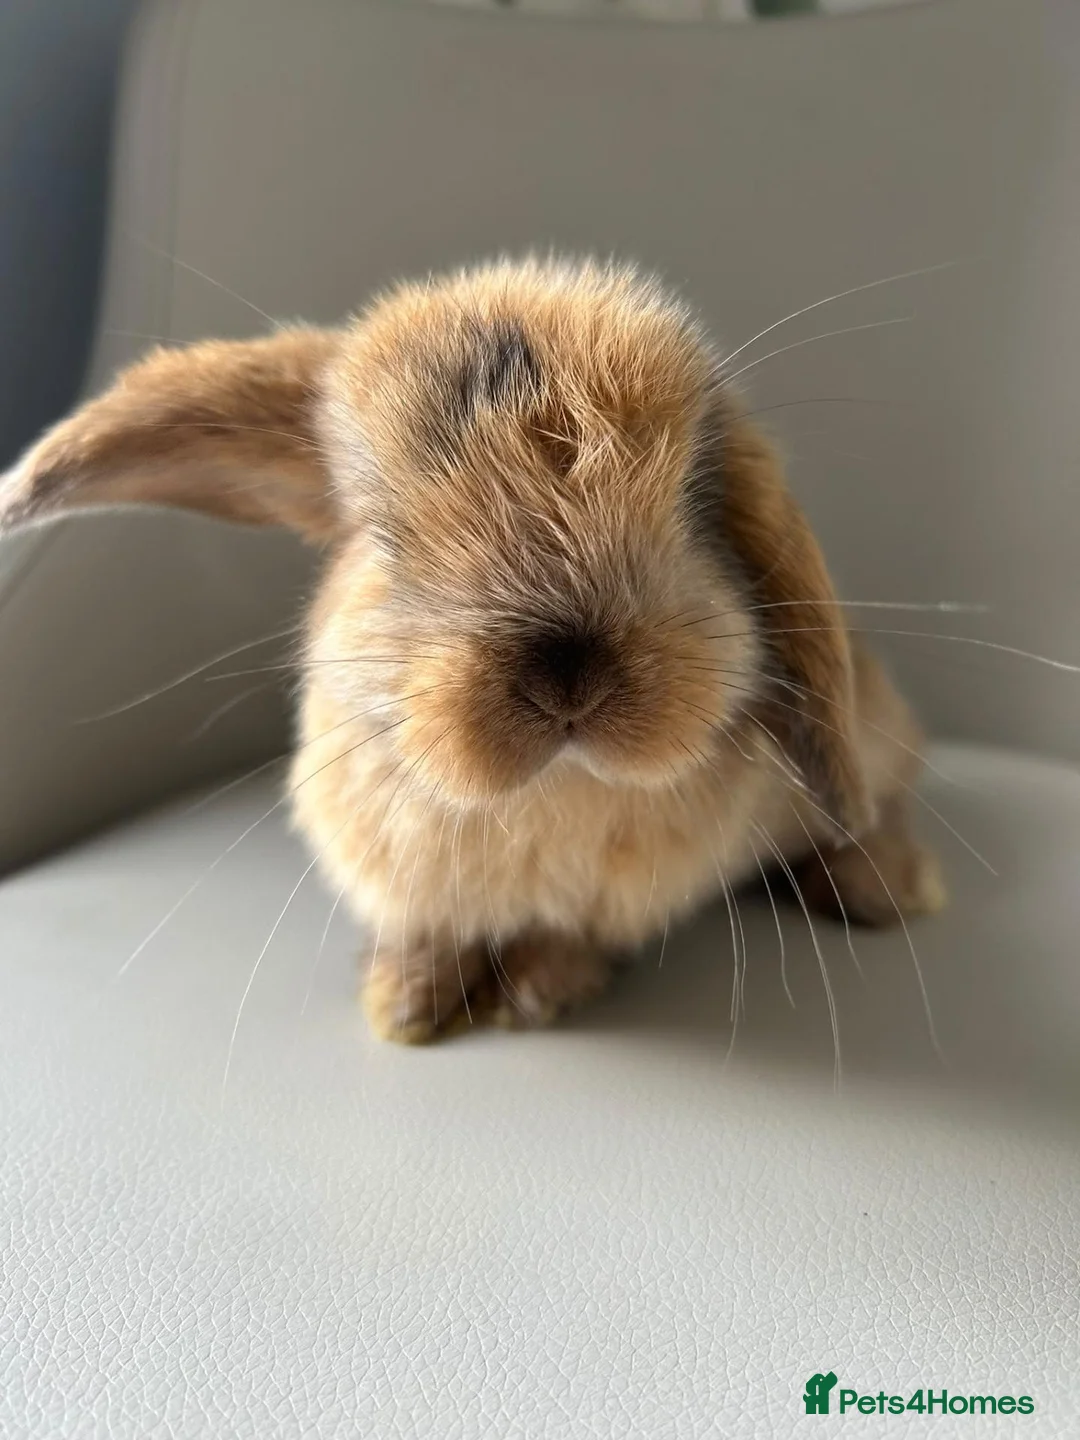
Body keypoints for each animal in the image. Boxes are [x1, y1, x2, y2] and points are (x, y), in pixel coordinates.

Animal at [0, 256, 945, 1042]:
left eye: (695, 501)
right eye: (382, 534)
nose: (569, 679)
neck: (545, 794)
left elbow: (568, 939)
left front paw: (534, 994)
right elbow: (430, 940)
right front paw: (404, 1003)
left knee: (884, 803)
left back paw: (889, 891)